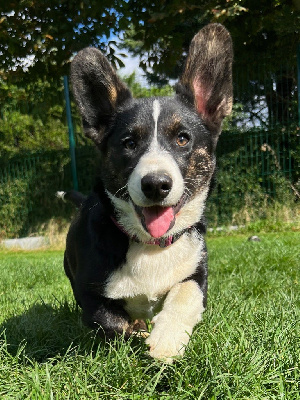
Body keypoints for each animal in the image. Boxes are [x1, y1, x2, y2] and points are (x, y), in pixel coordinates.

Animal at [62, 25, 232, 362]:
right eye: (129, 143)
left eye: (183, 139)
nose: (155, 184)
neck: (150, 245)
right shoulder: (89, 294)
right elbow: (112, 322)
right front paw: (139, 333)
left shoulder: (197, 272)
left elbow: (186, 295)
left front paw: (167, 339)